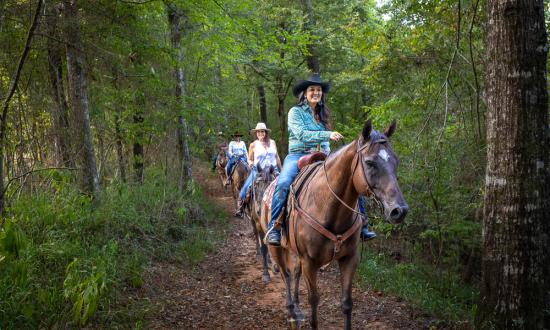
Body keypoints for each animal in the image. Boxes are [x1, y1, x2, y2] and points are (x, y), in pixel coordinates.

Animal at [260, 120, 410, 328]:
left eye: (395, 161)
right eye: (370, 162)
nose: (399, 210)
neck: (327, 206)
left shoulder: (349, 258)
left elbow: (346, 303)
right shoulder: (309, 262)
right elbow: (314, 300)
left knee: (295, 273)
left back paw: (297, 308)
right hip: (276, 248)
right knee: (286, 274)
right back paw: (291, 312)